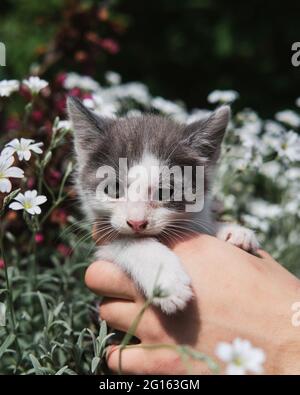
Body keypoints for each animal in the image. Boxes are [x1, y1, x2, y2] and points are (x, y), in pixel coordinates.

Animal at [67, 97, 258, 314]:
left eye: (164, 192)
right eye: (114, 189)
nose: (137, 222)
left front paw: (233, 231)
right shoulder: (103, 243)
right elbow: (130, 243)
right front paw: (167, 282)